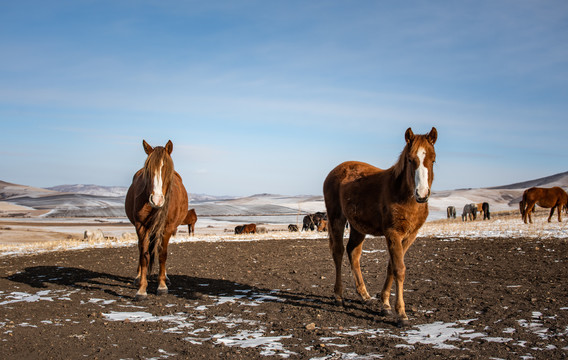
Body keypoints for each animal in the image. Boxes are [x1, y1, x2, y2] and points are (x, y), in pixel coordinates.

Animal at [125, 141, 189, 300]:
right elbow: (144, 255)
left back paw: (165, 277)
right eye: (148, 170)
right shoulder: (141, 226)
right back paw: (138, 277)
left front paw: (162, 285)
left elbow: (162, 254)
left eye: (166, 169)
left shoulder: (167, 228)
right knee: (141, 249)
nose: (157, 200)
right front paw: (142, 289)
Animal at [322, 127, 438, 326]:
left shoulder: (410, 235)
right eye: (410, 159)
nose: (422, 194)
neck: (403, 195)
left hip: (358, 227)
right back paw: (338, 296)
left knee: (353, 252)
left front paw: (385, 304)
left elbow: (392, 266)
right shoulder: (392, 234)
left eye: (433, 159)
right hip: (336, 218)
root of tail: (334, 171)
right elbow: (399, 269)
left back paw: (364, 295)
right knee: (338, 252)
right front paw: (401, 314)